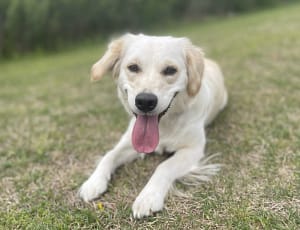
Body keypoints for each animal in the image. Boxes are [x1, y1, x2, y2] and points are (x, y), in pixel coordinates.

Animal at [79, 33, 227, 218]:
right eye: (133, 67)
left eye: (170, 70)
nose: (145, 101)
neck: (163, 126)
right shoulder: (129, 142)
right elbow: (109, 155)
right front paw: (93, 182)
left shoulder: (193, 149)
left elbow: (164, 166)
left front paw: (148, 197)